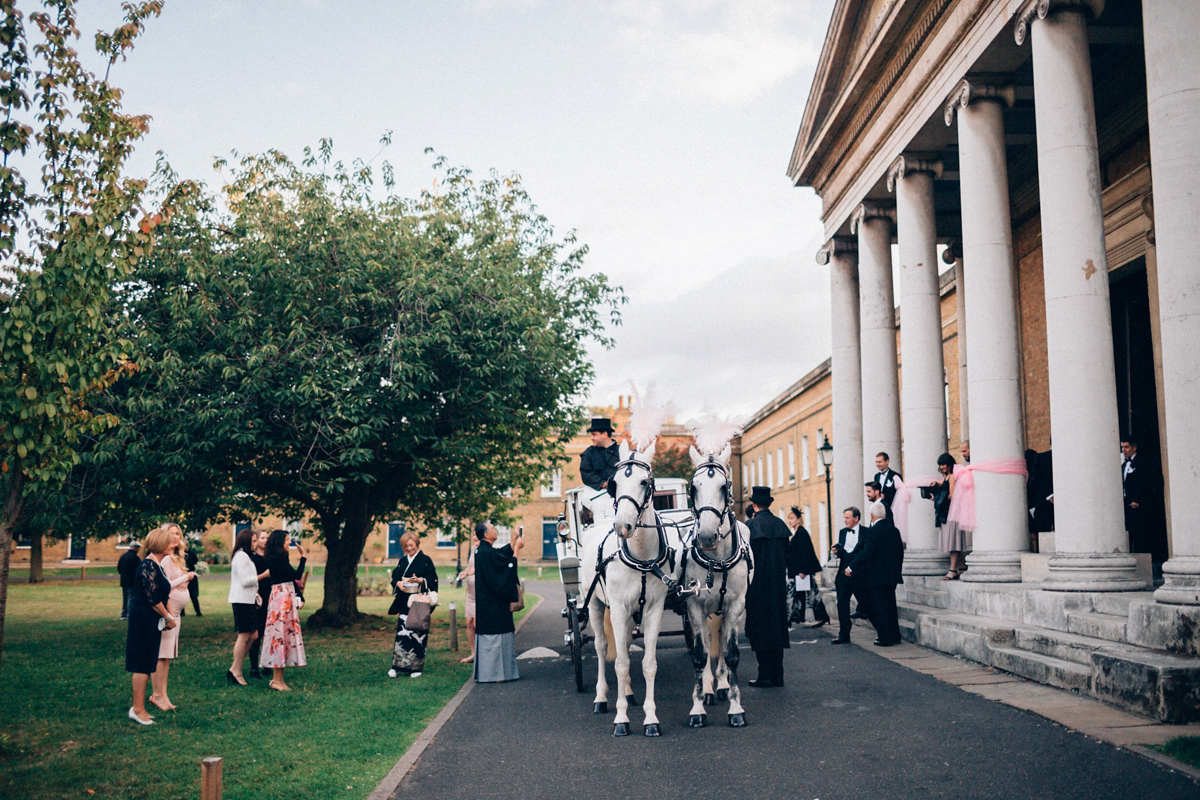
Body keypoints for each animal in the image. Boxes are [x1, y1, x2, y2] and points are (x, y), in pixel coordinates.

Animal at [580, 438, 686, 738]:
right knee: (602, 648)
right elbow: (620, 662)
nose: (622, 526)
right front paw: (621, 720)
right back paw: (601, 698)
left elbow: (647, 663)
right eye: (614, 483)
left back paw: (627, 693)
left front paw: (651, 719)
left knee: (624, 644)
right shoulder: (616, 608)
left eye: (644, 482)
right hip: (594, 604)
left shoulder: (653, 610)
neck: (640, 557)